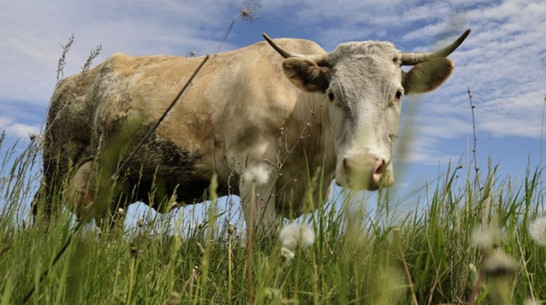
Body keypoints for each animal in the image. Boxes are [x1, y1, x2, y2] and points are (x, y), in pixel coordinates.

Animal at [34, 29, 468, 233]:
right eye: (332, 94)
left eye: (398, 93)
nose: (363, 165)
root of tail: (73, 79)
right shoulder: (253, 175)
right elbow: (265, 240)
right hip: (57, 165)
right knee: (44, 213)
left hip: (118, 181)